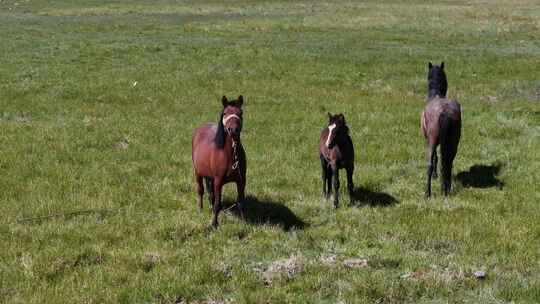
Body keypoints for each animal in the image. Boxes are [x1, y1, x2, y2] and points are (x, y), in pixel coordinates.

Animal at [192, 95, 247, 228]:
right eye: (225, 113)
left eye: (240, 113)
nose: (233, 130)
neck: (230, 155)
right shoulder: (218, 181)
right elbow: (218, 203)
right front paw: (214, 224)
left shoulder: (241, 181)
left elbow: (241, 202)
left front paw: (243, 223)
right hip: (198, 173)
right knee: (201, 191)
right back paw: (200, 210)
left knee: (210, 193)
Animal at [420, 62, 462, 197]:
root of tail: (446, 111)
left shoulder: (430, 140)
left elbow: (435, 158)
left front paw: (435, 176)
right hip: (454, 142)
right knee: (449, 163)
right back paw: (446, 188)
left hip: (431, 142)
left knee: (430, 164)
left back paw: (428, 193)